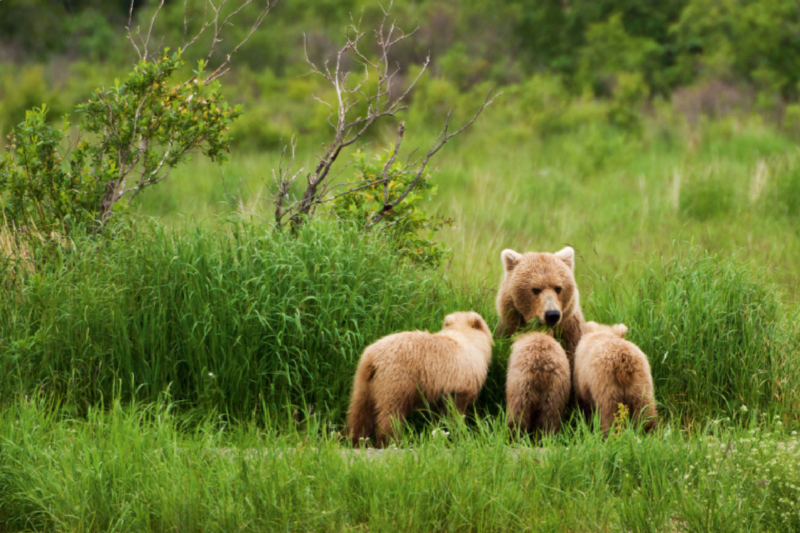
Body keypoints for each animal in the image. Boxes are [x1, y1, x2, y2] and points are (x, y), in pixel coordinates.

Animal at [346, 310, 490, 446]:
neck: (469, 340)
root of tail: (372, 358)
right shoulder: (461, 379)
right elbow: (456, 409)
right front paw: (460, 432)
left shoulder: (438, 387)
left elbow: (438, 411)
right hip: (397, 378)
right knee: (391, 411)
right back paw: (392, 441)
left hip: (363, 380)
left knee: (360, 409)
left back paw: (356, 439)